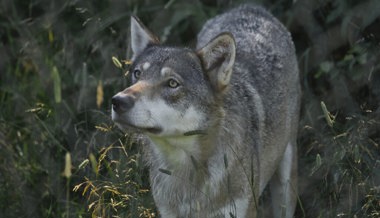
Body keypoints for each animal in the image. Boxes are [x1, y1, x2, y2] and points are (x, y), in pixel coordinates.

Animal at [111, 3, 302, 218]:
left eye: (172, 83)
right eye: (137, 74)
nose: (118, 101)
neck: (186, 170)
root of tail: (249, 8)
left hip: (286, 184)